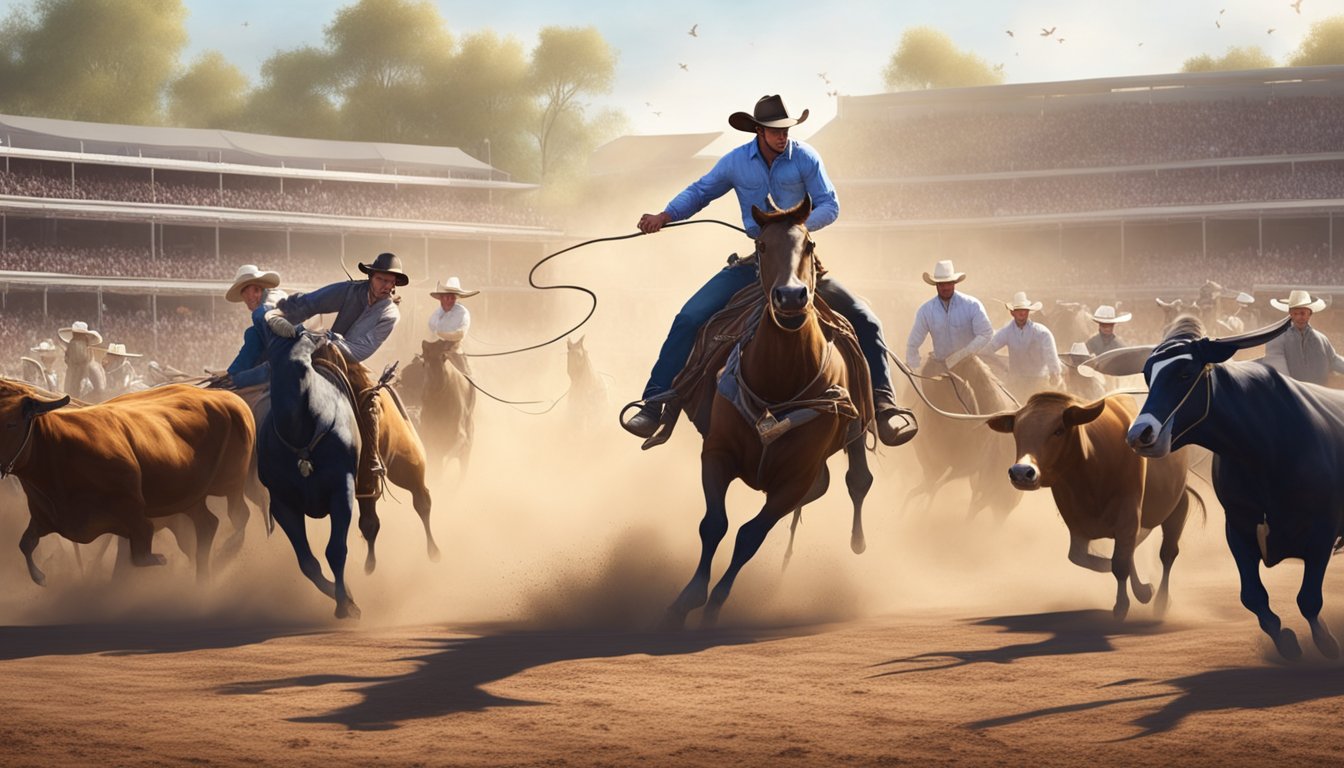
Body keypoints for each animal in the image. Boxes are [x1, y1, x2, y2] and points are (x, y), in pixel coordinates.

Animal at [0, 381, 255, 586]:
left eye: (11, 424)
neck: (57, 448)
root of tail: (228, 398)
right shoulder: (44, 518)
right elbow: (26, 544)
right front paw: (41, 577)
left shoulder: (135, 516)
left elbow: (140, 556)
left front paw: (160, 560)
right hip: (190, 498)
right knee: (207, 525)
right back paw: (204, 579)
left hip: (231, 483)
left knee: (238, 515)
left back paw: (226, 553)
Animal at [256, 333, 360, 621]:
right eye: (272, 362)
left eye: (306, 365)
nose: (289, 407)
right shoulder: (282, 504)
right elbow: (307, 563)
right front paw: (343, 594)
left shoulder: (342, 489)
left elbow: (335, 550)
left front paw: (345, 604)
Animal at [661, 200, 870, 632]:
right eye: (760, 245)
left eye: (809, 243)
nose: (790, 297)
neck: (779, 382)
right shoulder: (717, 453)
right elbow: (714, 524)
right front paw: (684, 601)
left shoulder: (795, 478)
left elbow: (749, 536)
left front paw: (712, 606)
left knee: (856, 478)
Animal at [989, 392, 1198, 621]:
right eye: (1016, 431)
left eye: (1059, 430)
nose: (1021, 472)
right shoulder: (1077, 525)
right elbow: (1086, 558)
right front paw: (1140, 589)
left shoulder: (1128, 516)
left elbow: (1120, 563)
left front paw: (1122, 606)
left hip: (1178, 506)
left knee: (1168, 553)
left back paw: (1161, 602)